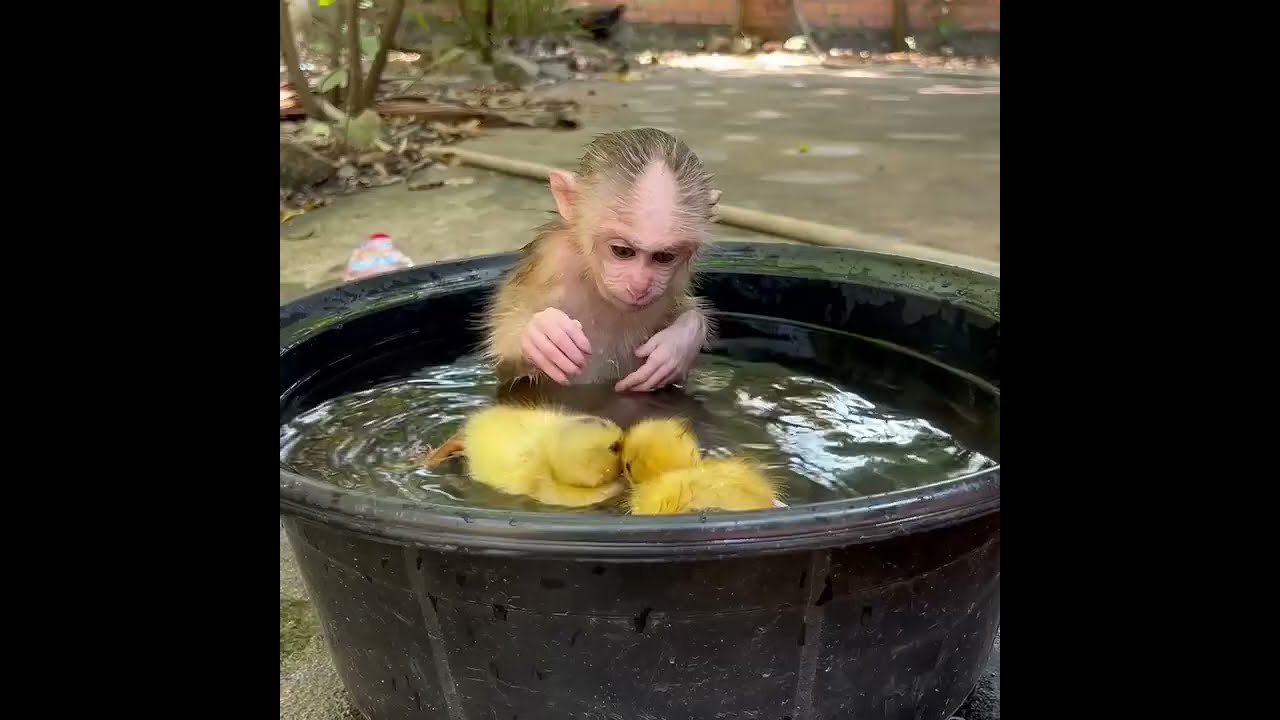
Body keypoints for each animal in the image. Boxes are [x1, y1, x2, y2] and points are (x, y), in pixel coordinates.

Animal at [481, 128, 722, 394]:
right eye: (622, 251)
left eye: (664, 257)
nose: (639, 286)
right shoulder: (551, 259)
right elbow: (506, 361)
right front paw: (539, 334)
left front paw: (680, 342)